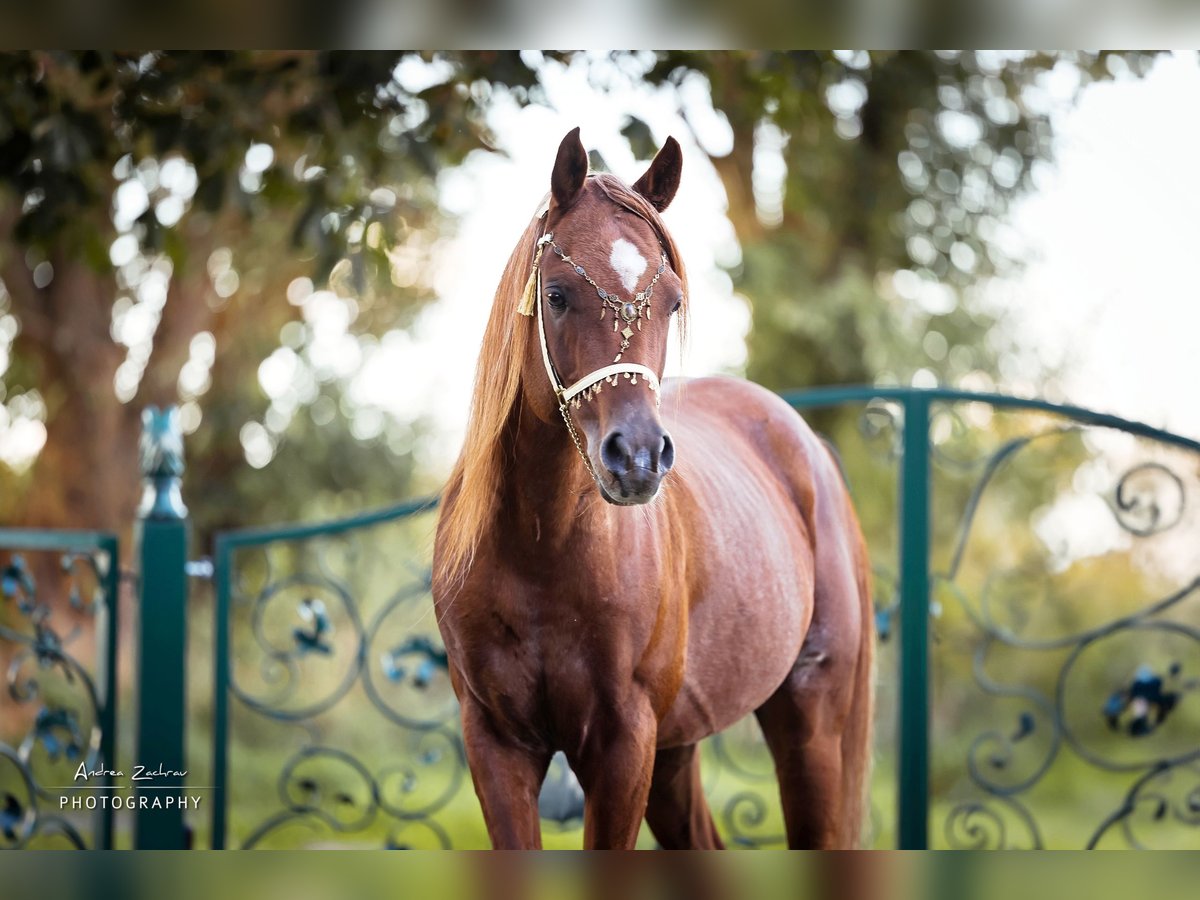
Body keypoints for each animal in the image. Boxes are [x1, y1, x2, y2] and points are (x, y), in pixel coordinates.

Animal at [432, 128, 874, 849]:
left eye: (672, 299)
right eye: (556, 294)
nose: (637, 458)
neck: (540, 549)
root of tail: (807, 449)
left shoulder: (623, 747)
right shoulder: (495, 744)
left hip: (811, 724)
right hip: (676, 753)